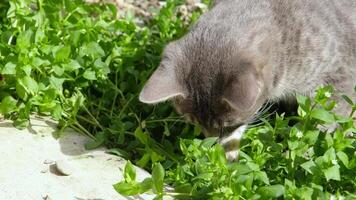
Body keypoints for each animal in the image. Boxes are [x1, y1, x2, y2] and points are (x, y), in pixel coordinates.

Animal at [139, 0, 356, 161]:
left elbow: (327, 120)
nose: (214, 148)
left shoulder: (341, 76)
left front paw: (303, 152)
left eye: (229, 125)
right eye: (196, 124)